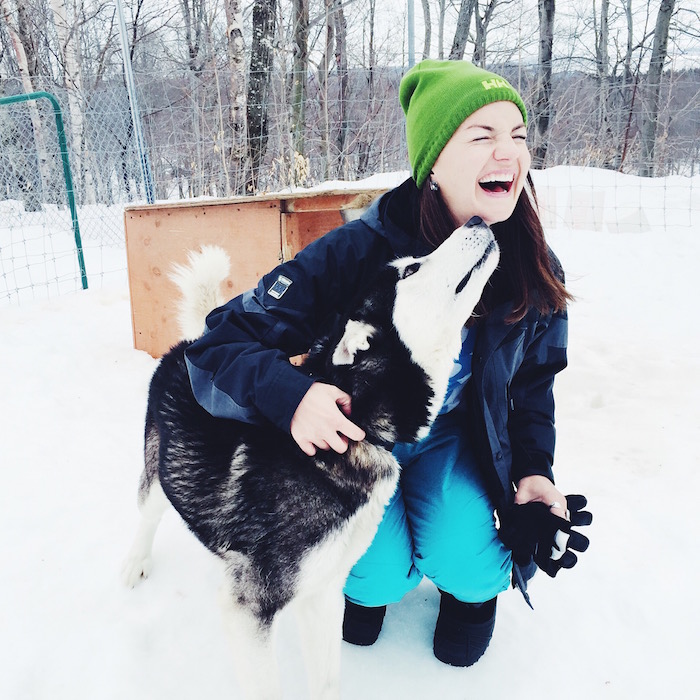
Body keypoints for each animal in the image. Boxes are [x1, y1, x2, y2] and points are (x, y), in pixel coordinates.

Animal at [123, 219, 500, 700]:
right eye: (411, 269)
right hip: (158, 473)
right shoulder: (248, 609)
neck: (357, 429)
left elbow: (326, 680)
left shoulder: (322, 592)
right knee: (147, 514)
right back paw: (135, 563)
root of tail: (191, 343)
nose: (477, 221)